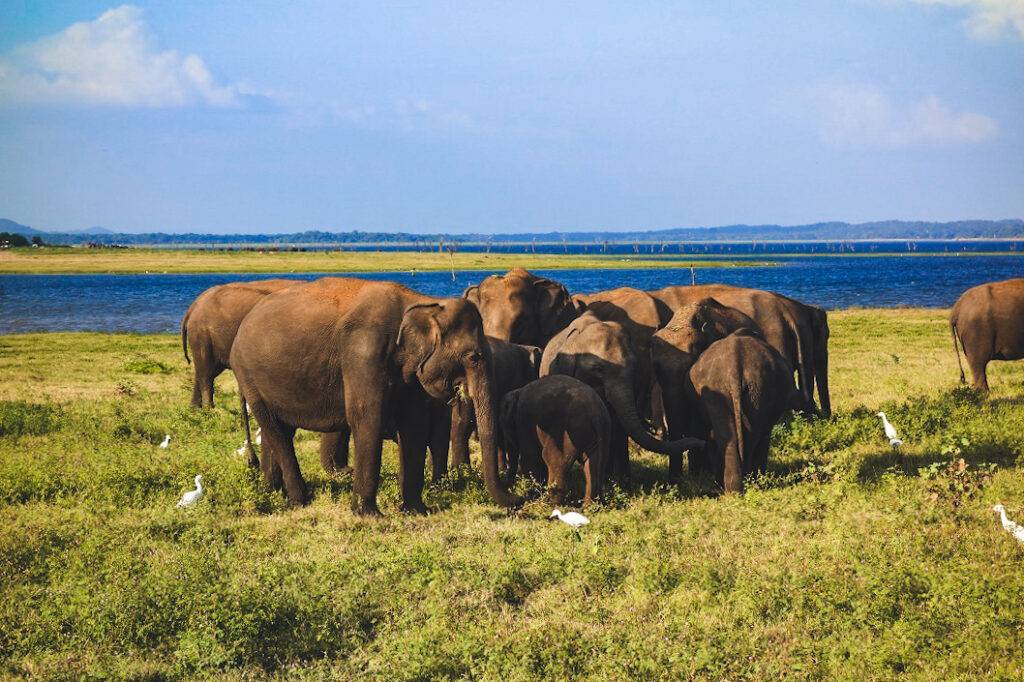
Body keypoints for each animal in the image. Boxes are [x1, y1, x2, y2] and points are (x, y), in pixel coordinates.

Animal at [181, 278, 299, 408]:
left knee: (205, 371)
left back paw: (194, 409)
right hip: (202, 335)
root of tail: (193, 307)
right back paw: (208, 410)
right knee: (206, 373)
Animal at [230, 277, 519, 514]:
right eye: (473, 357)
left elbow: (413, 424)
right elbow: (367, 417)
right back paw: (299, 500)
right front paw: (368, 514)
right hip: (248, 376)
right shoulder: (364, 353)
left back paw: (272, 491)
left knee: (280, 431)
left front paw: (417, 510)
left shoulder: (408, 371)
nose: (518, 499)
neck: (421, 302)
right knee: (276, 430)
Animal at [499, 375, 610, 506]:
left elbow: (530, 457)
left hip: (568, 432)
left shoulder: (524, 420)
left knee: (553, 458)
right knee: (593, 464)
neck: (517, 392)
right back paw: (589, 506)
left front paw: (533, 493)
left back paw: (550, 503)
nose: (509, 485)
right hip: (598, 434)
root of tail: (596, 415)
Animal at [687, 330, 799, 493]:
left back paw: (733, 489)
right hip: (755, 389)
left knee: (731, 436)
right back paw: (741, 485)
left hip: (738, 389)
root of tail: (735, 365)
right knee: (751, 436)